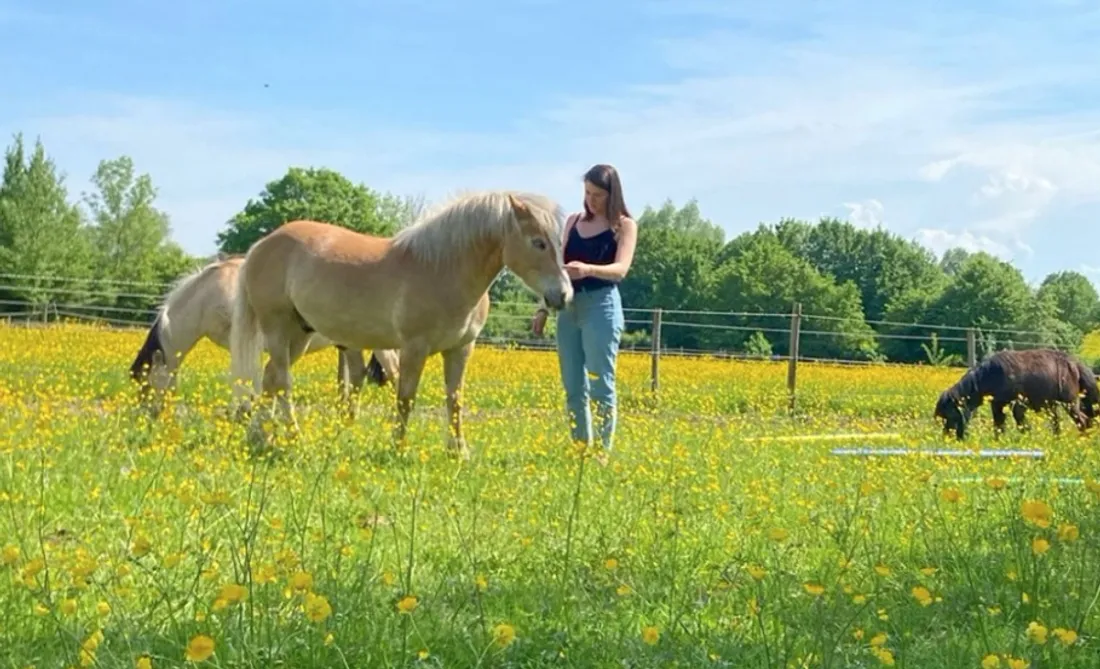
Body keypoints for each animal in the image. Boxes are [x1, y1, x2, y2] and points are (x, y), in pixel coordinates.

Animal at [129, 253, 400, 415]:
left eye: (146, 381)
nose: (146, 415)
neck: (208, 295)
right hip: (349, 345)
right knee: (357, 377)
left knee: (394, 373)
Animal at [227, 190, 572, 457]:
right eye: (538, 242)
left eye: (559, 243)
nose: (563, 295)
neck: (443, 270)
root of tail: (262, 245)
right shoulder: (413, 348)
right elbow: (406, 399)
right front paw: (398, 448)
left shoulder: (461, 349)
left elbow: (455, 400)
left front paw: (458, 452)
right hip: (277, 328)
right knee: (283, 383)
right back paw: (293, 438)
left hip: (299, 334)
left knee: (270, 379)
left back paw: (260, 437)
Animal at [934, 348, 1099, 440]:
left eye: (949, 415)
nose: (947, 437)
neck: (988, 375)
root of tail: (1075, 363)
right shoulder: (997, 405)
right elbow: (999, 425)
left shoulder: (1018, 405)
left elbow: (1021, 424)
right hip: (1053, 406)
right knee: (1058, 423)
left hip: (1069, 403)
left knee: (1083, 420)